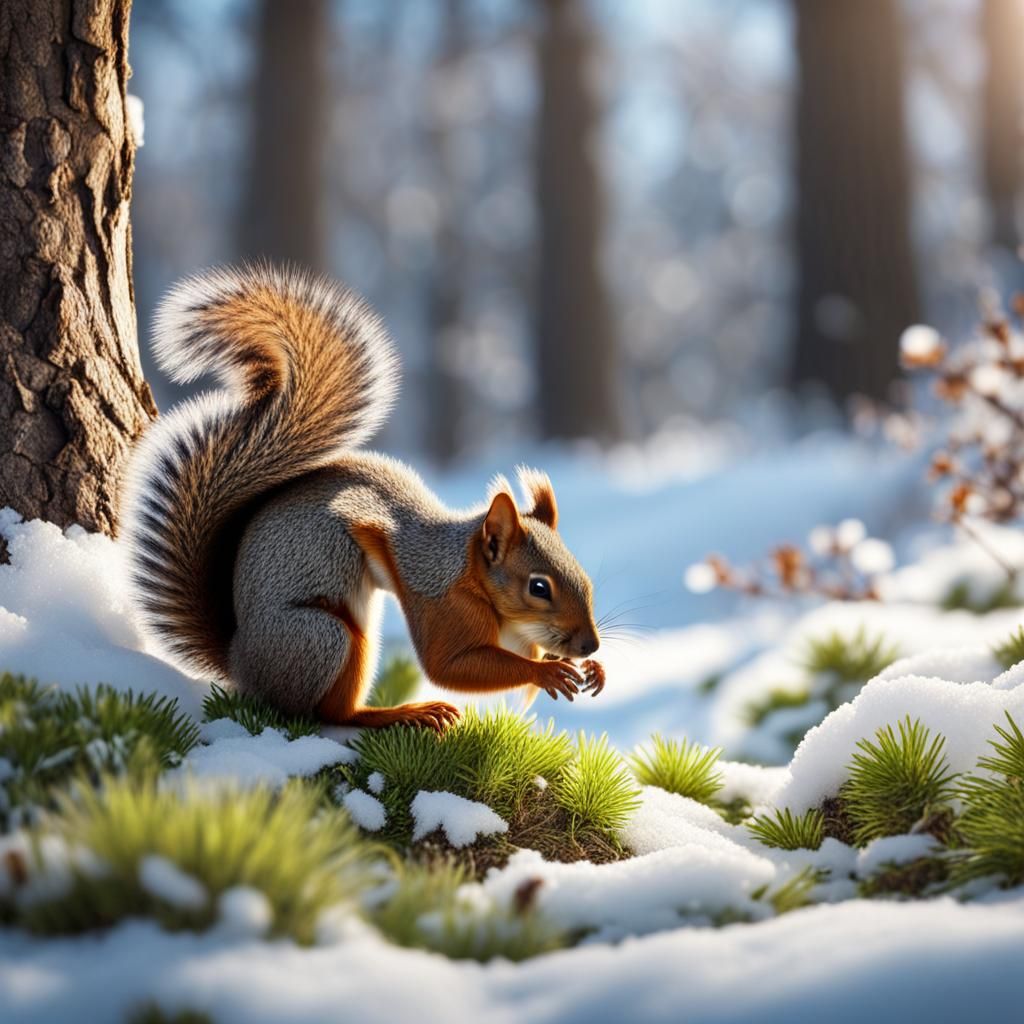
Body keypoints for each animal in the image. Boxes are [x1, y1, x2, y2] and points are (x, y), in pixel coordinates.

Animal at [122, 264, 604, 731]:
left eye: (586, 579)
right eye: (538, 587)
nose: (590, 644)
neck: (472, 576)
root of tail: (242, 664)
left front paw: (590, 669)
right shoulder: (441, 605)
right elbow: (448, 666)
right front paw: (545, 672)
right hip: (323, 637)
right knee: (329, 714)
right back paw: (398, 713)